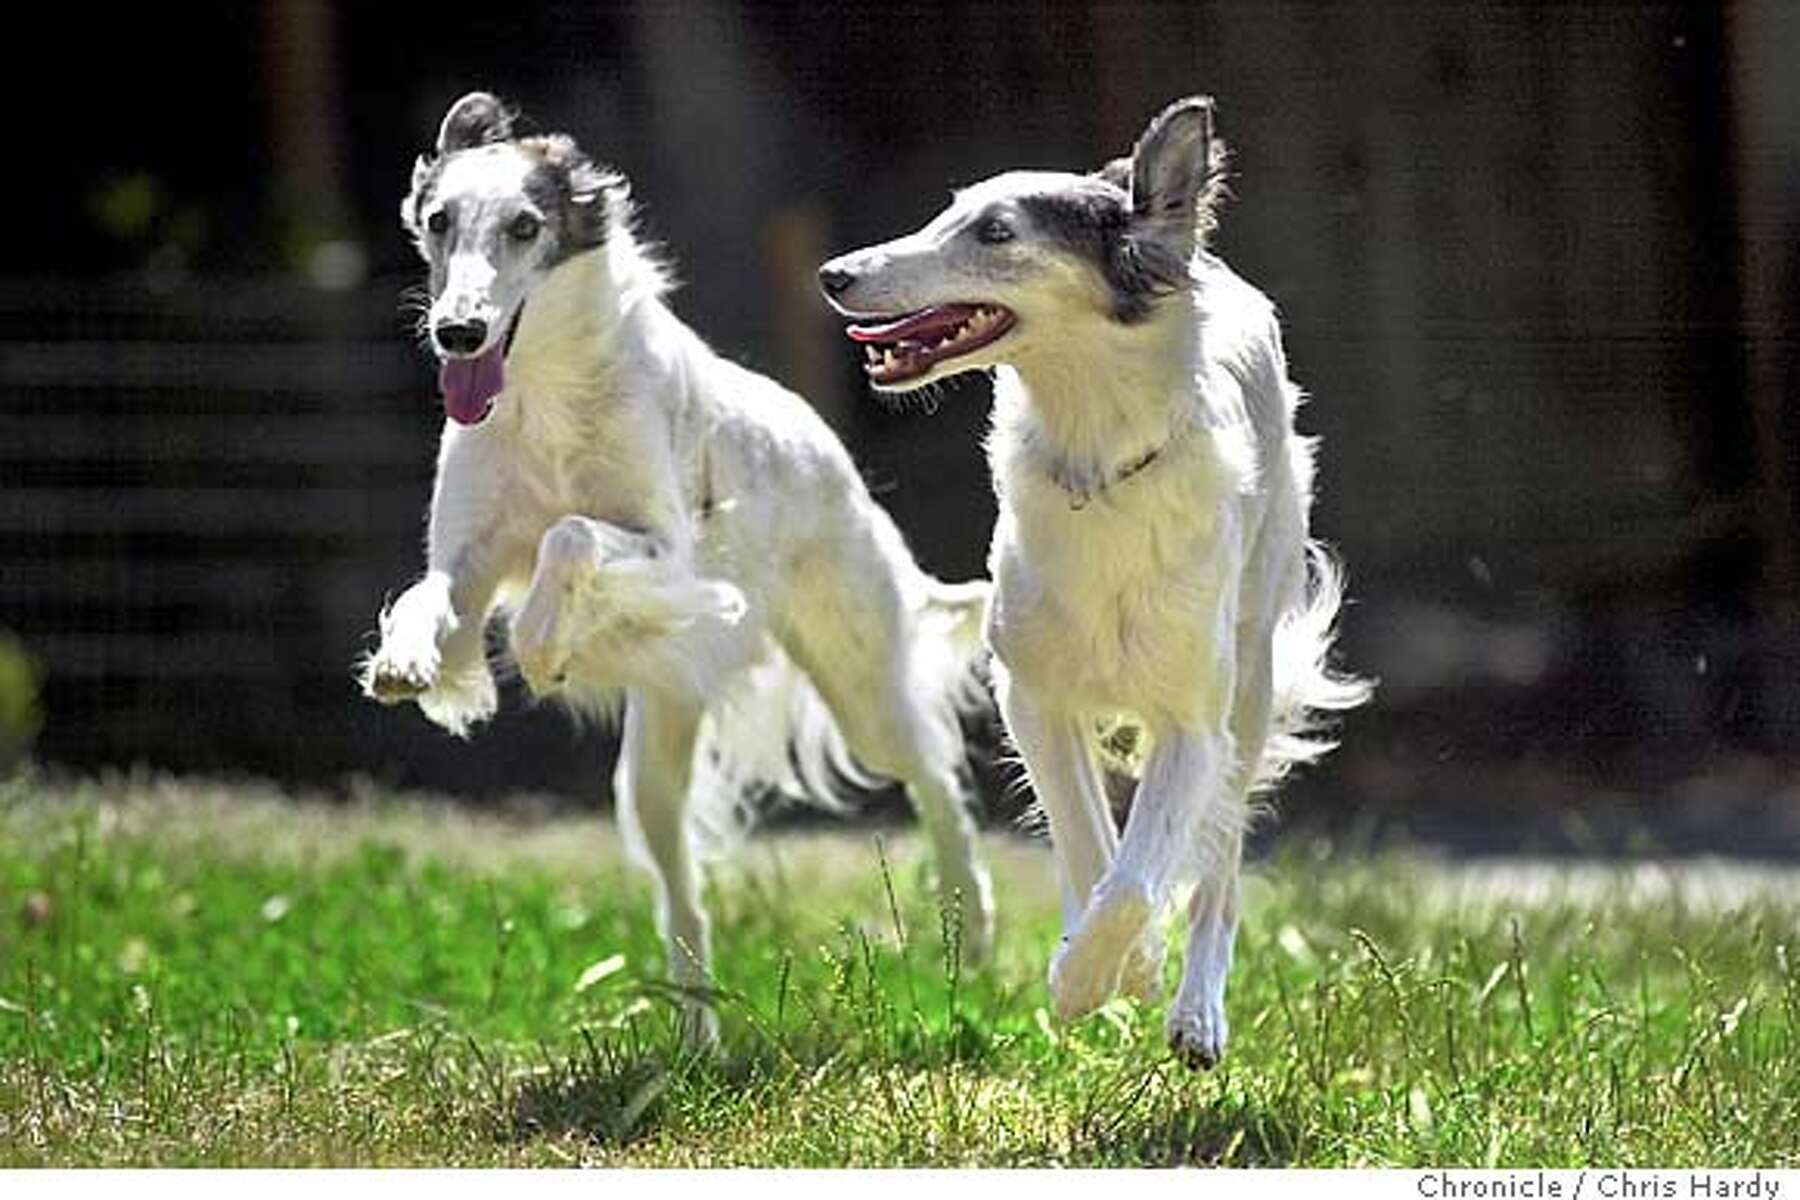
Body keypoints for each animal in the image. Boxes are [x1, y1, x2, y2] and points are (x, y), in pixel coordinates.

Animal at [356, 94, 993, 1043]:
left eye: (525, 225)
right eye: (439, 220)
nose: (457, 332)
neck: (545, 395)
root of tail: (830, 451)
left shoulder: (669, 553)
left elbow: (570, 537)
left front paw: (545, 648)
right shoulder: (466, 566)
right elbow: (426, 598)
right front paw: (406, 664)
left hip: (862, 689)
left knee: (937, 778)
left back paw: (972, 935)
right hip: (653, 768)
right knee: (685, 904)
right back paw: (698, 1039)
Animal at [824, 96, 1368, 1072]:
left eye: (997, 233)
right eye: (945, 213)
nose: (834, 275)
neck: (1100, 463)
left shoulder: (1193, 724)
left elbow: (1143, 873)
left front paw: (1108, 972)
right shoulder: (1032, 696)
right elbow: (1090, 847)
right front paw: (1101, 966)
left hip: (1249, 685)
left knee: (1218, 869)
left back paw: (1197, 1013)